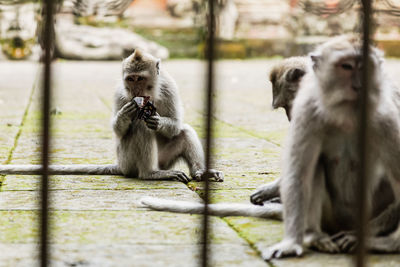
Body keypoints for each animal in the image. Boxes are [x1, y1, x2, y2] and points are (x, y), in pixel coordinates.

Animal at [0, 49, 223, 184]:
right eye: (131, 79)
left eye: (140, 78)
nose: (135, 90)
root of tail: (121, 165)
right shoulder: (121, 93)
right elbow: (119, 129)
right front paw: (125, 115)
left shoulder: (169, 86)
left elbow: (176, 125)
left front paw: (157, 121)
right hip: (127, 160)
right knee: (140, 128)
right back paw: (149, 174)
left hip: (164, 159)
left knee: (184, 131)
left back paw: (200, 173)